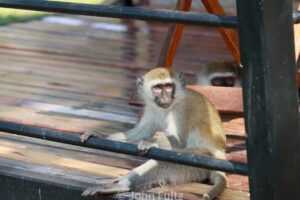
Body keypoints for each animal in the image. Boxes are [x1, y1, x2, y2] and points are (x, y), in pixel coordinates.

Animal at [81, 67, 226, 200]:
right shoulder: (151, 107)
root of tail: (221, 155)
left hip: (201, 159)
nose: (165, 97)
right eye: (158, 88)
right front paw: (101, 136)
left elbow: (179, 143)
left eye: (168, 86)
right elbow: (140, 132)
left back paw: (124, 184)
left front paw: (150, 141)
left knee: (167, 160)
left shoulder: (182, 109)